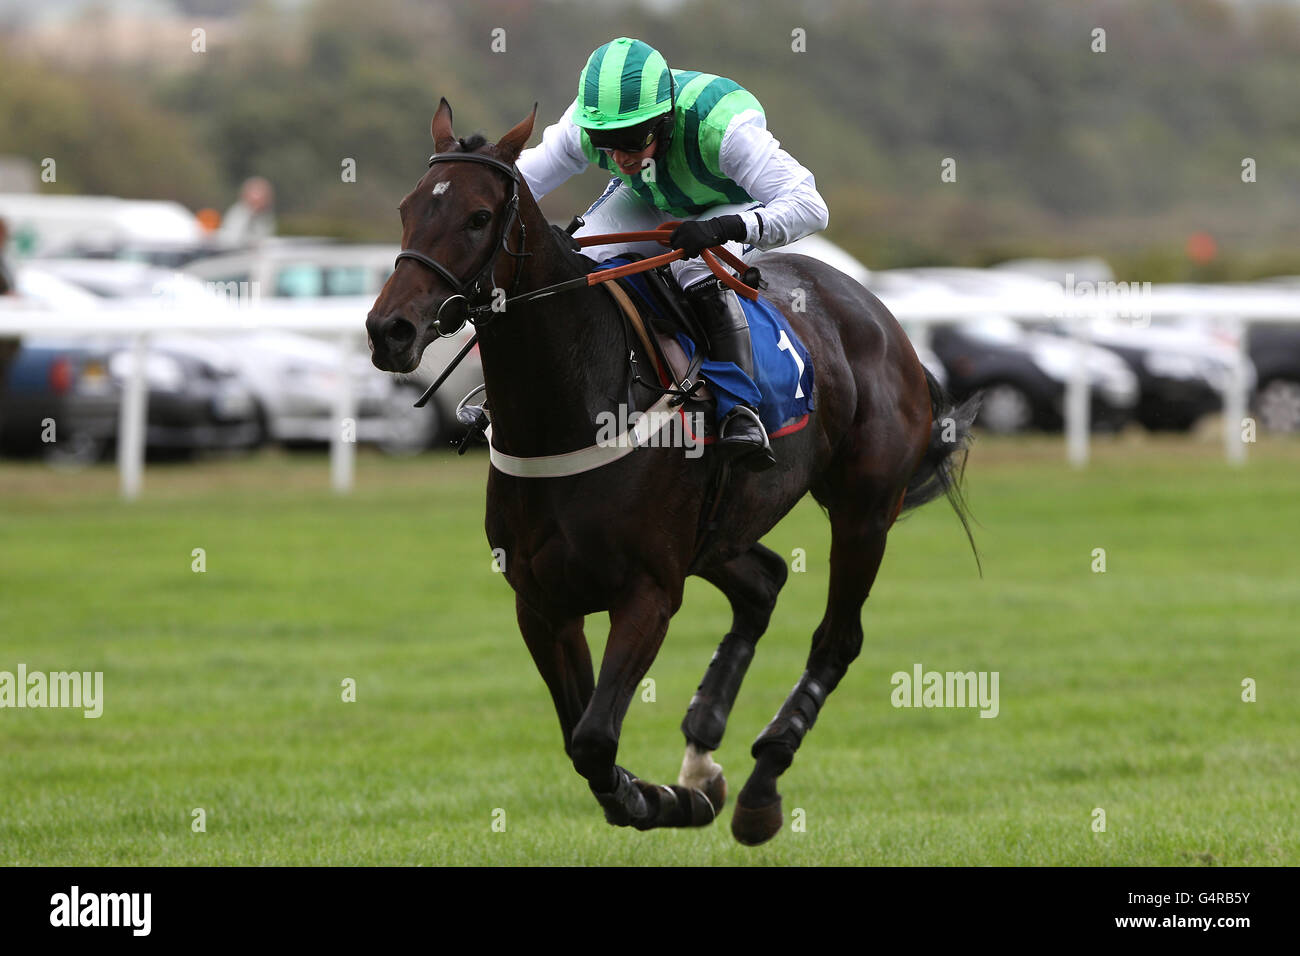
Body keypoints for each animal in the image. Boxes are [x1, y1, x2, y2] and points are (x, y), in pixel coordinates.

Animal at [365, 99, 978, 846]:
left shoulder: (649, 591)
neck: (571, 407)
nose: (390, 330)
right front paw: (674, 790)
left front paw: (662, 801)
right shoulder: (540, 602)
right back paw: (702, 749)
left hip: (863, 514)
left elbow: (595, 738)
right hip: (717, 531)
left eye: (479, 217)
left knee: (837, 640)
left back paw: (760, 785)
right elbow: (579, 738)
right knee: (763, 585)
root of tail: (885, 319)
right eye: (407, 208)